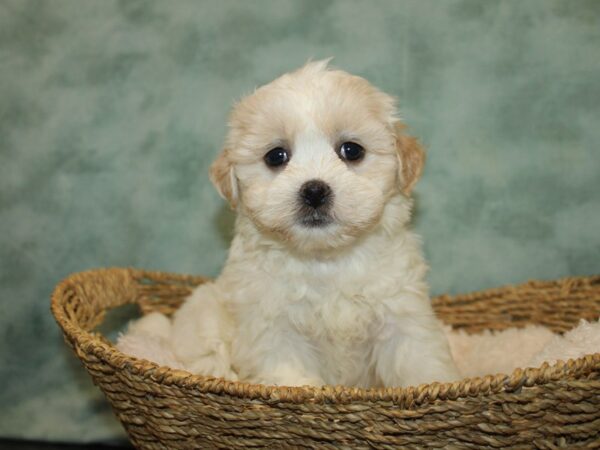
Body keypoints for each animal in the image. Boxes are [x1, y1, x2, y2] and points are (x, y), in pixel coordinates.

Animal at [120, 60, 460, 386]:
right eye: (276, 156)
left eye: (351, 150)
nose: (314, 191)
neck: (325, 261)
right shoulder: (272, 329)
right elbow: (288, 375)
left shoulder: (401, 315)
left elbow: (419, 361)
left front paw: (436, 387)